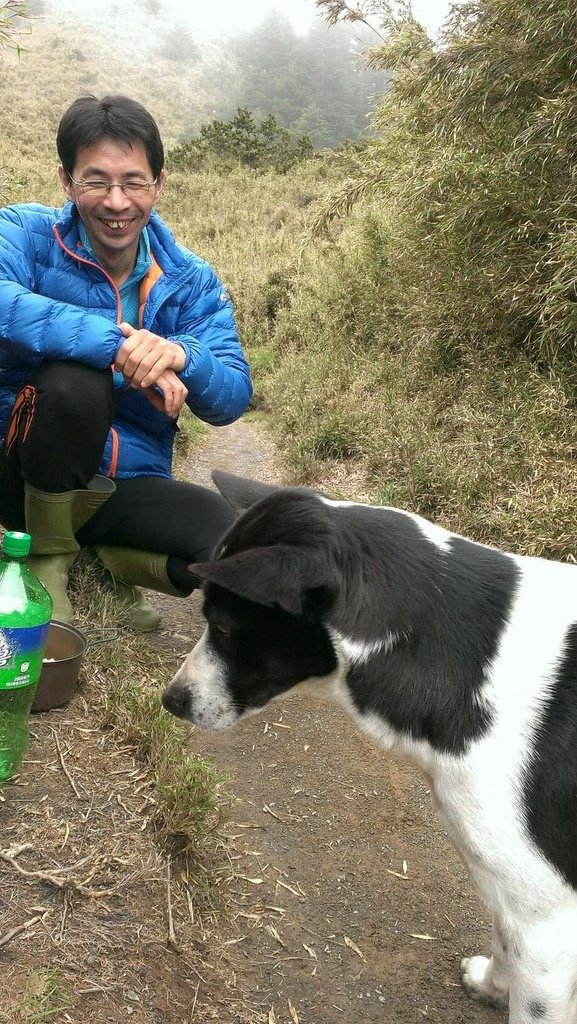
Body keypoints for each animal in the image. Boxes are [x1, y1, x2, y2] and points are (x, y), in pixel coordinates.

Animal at [161, 471, 577, 1024]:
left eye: (224, 625)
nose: (170, 700)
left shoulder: (548, 924)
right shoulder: (520, 901)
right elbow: (503, 940)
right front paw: (492, 985)